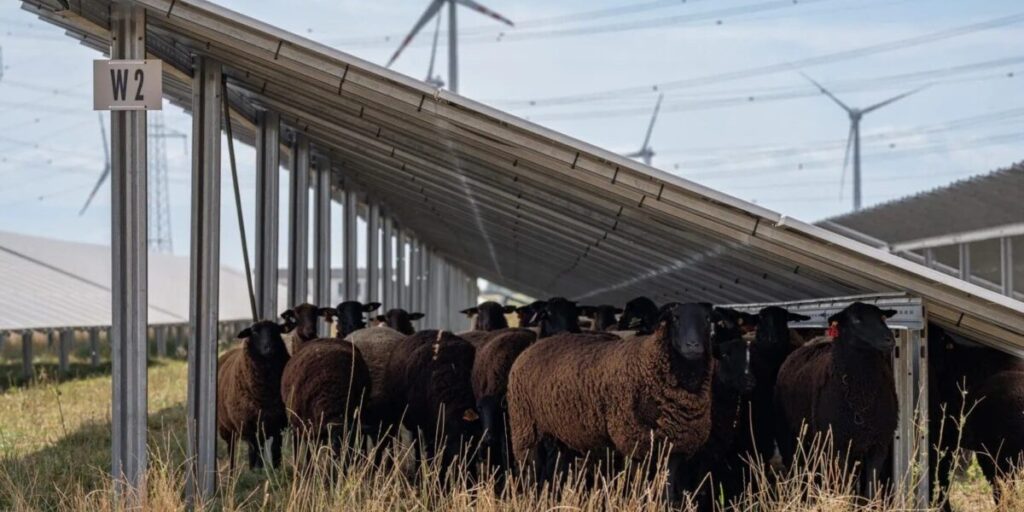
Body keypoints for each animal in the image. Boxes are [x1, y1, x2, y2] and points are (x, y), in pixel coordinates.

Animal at [217, 321, 292, 468]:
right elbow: (255, 449)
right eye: (255, 332)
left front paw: (276, 468)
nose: (270, 347)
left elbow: (275, 448)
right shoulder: (248, 423)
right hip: (227, 427)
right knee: (232, 449)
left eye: (276, 330)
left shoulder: (277, 423)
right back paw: (233, 469)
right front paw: (257, 468)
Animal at [507, 301, 716, 497]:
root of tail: (534, 347)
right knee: (529, 471)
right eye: (675, 318)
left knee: (558, 470)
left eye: (707, 319)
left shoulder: (676, 446)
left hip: (562, 435)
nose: (693, 345)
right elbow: (638, 486)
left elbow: (667, 489)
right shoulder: (634, 442)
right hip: (526, 430)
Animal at [774, 301, 897, 497]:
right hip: (789, 436)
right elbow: (842, 485)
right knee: (796, 471)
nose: (889, 339)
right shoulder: (838, 445)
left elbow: (870, 490)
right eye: (856, 319)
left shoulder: (878, 445)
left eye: (882, 317)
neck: (861, 395)